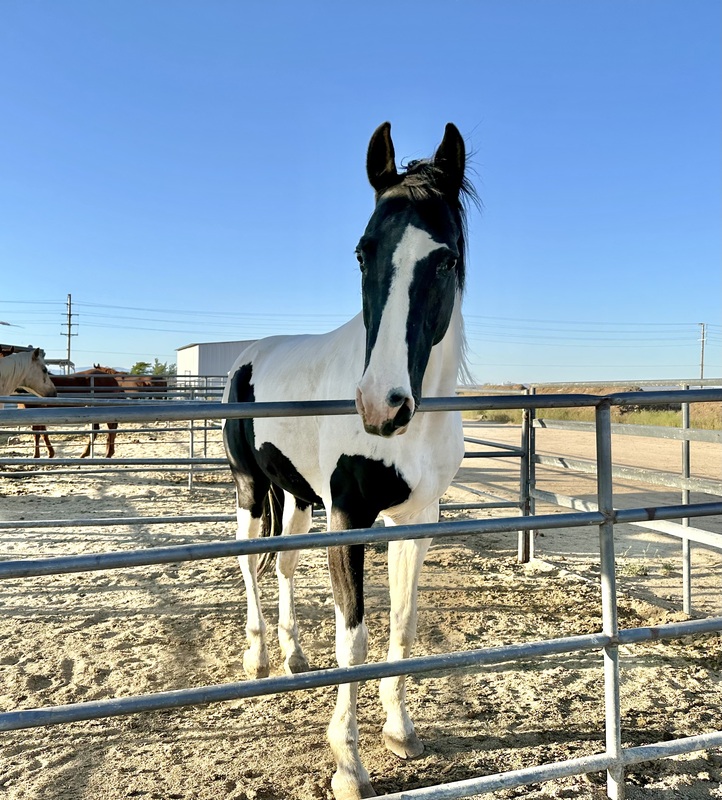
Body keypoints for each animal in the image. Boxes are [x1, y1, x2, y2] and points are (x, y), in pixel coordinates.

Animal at [222, 120, 476, 800]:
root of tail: (249, 355)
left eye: (446, 258)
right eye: (363, 252)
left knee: (283, 565)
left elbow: (403, 624)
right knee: (249, 562)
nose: (381, 406)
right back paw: (258, 655)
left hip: (295, 495)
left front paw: (399, 730)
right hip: (251, 489)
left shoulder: (416, 520)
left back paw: (291, 656)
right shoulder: (349, 517)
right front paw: (348, 765)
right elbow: (353, 639)